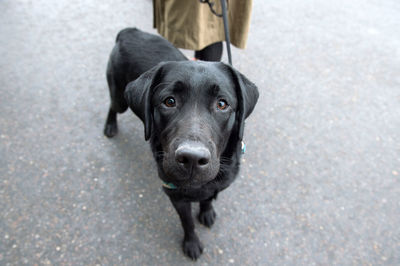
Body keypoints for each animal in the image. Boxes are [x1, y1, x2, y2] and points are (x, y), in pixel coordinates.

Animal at [104, 28, 258, 260]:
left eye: (222, 104)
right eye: (169, 101)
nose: (192, 158)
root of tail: (129, 32)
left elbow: (207, 199)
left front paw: (207, 211)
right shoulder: (176, 195)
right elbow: (187, 222)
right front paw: (192, 243)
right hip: (120, 97)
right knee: (113, 106)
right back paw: (110, 126)